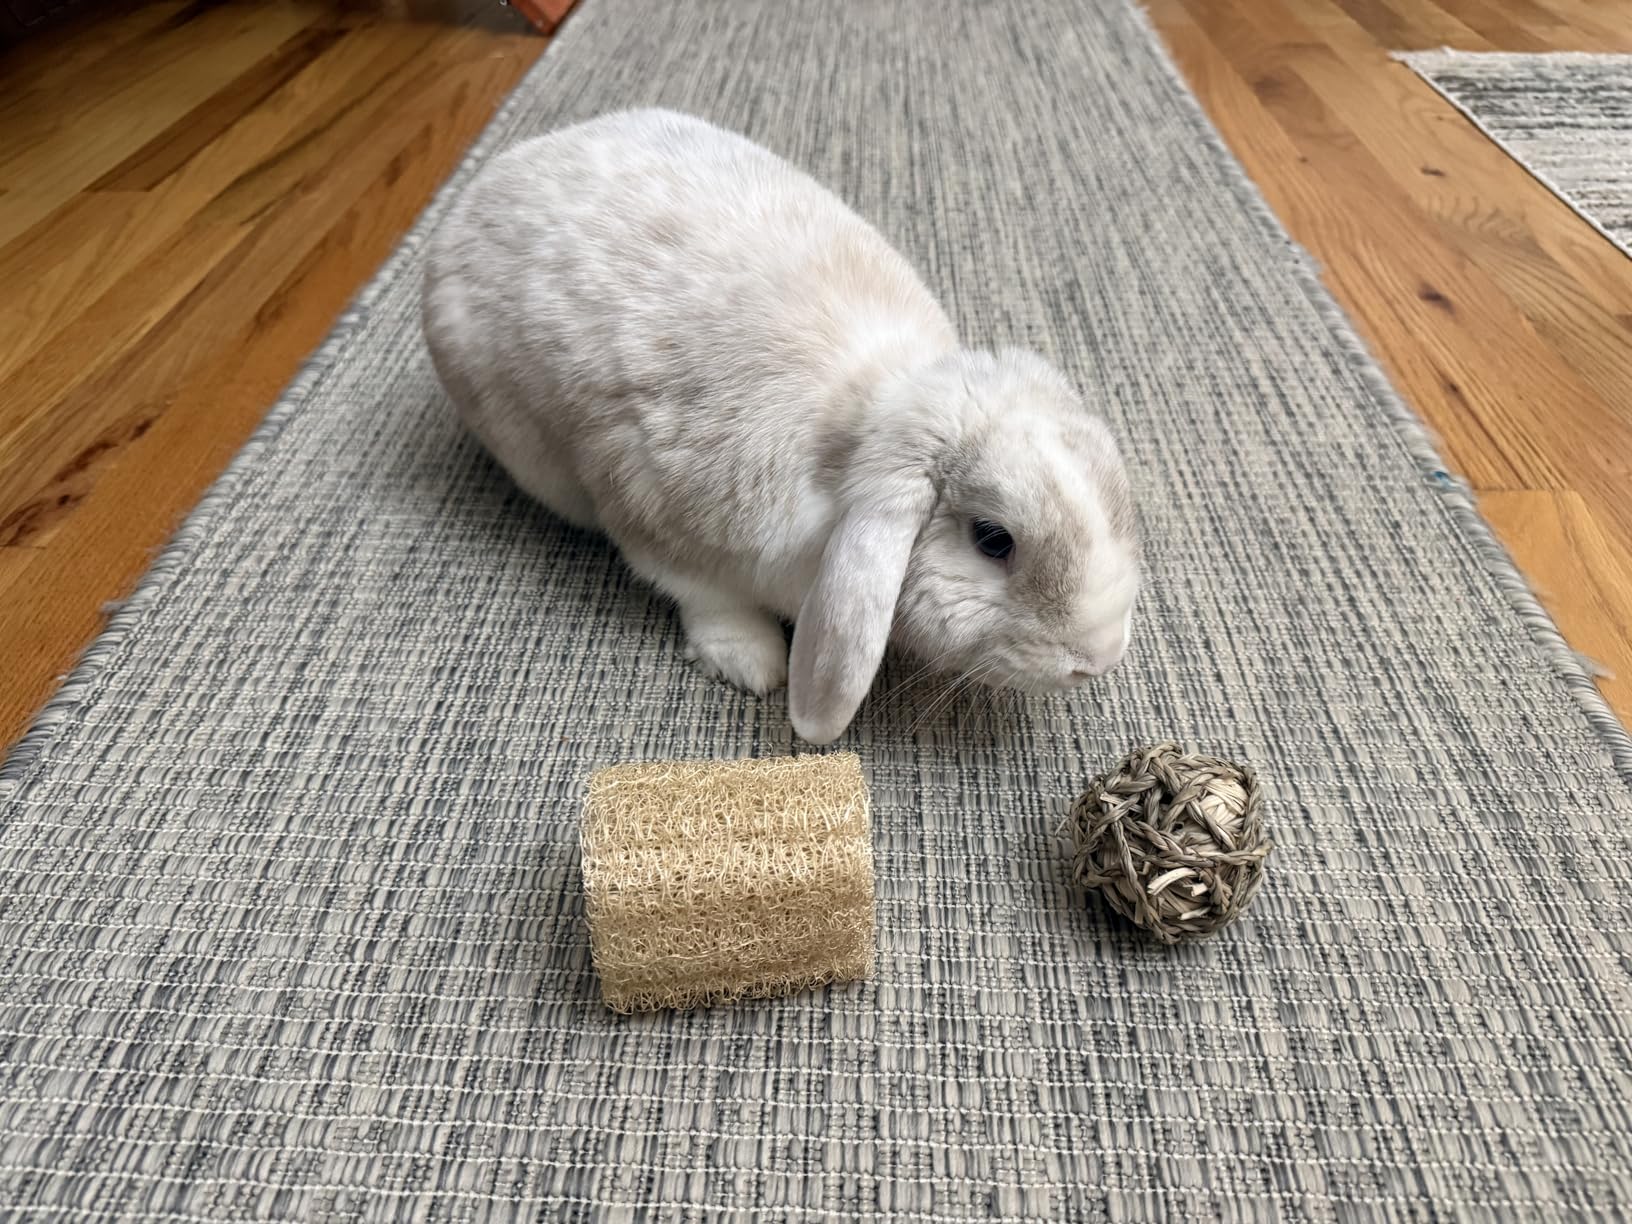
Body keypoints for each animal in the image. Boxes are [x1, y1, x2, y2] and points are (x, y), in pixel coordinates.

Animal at [422, 108, 1139, 745]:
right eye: (993, 540)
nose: (1099, 658)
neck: (864, 418)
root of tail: (484, 183)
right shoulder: (648, 509)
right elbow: (702, 594)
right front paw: (751, 663)